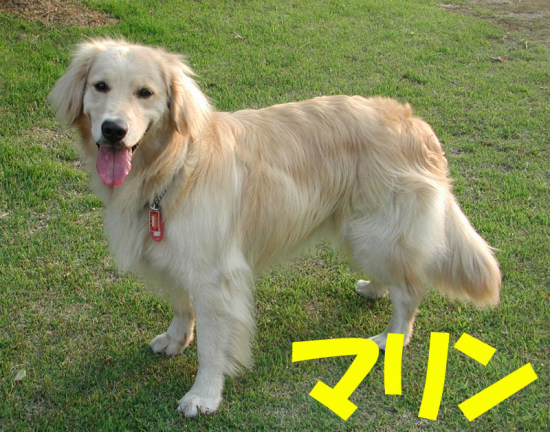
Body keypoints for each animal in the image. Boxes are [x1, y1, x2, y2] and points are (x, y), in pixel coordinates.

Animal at [49, 39, 501, 417]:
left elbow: (212, 344)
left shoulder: (215, 275)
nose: (113, 130)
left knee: (410, 289)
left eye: (145, 93)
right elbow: (181, 306)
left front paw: (204, 395)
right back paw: (374, 288)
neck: (173, 167)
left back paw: (392, 337)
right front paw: (176, 339)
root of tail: (417, 122)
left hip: (374, 231)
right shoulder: (174, 255)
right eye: (100, 86)